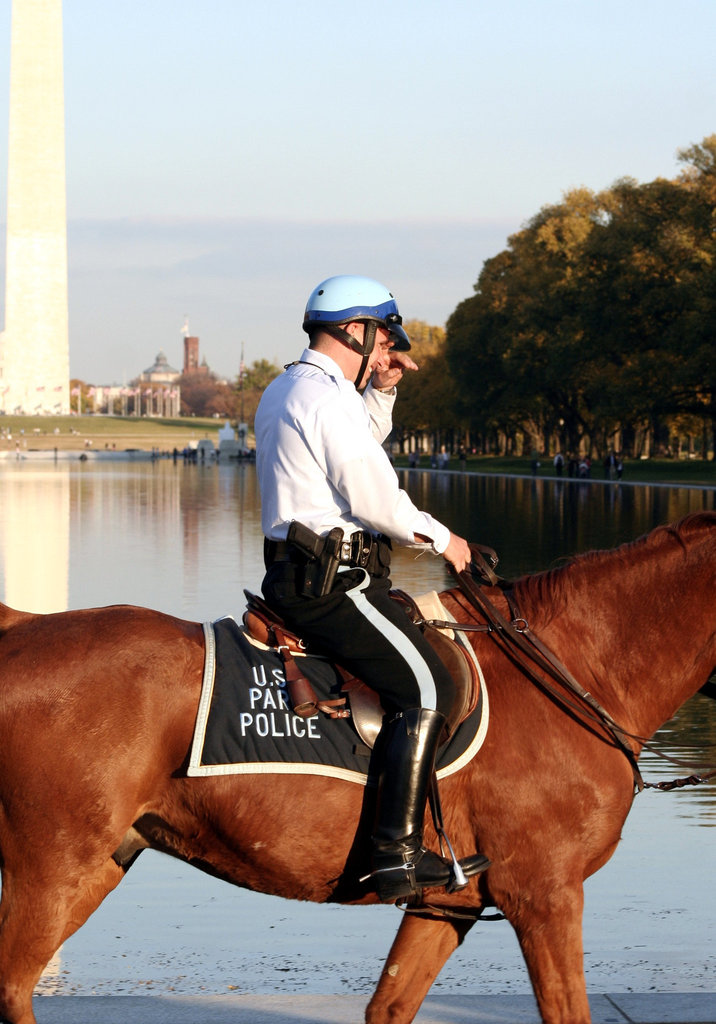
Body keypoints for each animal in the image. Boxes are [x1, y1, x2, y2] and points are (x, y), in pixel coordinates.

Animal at [0, 512, 712, 1024]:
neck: (573, 668)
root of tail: (19, 626)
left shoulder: (448, 904)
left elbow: (390, 1005)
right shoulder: (545, 896)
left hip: (102, 860)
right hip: (55, 870)